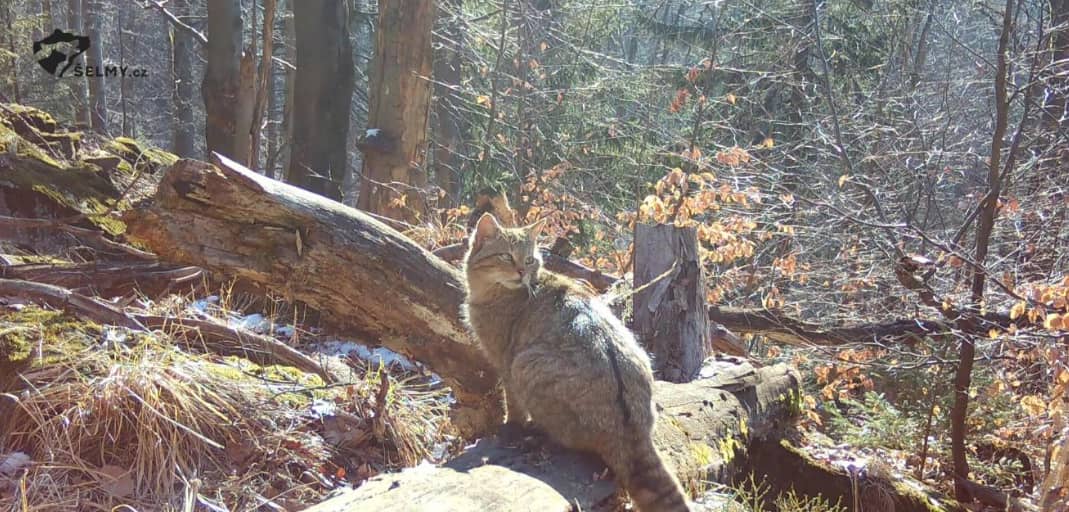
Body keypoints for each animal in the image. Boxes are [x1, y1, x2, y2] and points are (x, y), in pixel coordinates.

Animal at [462, 213, 690, 512]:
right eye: (506, 256)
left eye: (529, 259)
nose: (522, 272)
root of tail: (633, 430)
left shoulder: (505, 360)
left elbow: (512, 404)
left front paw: (511, 426)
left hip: (526, 363)